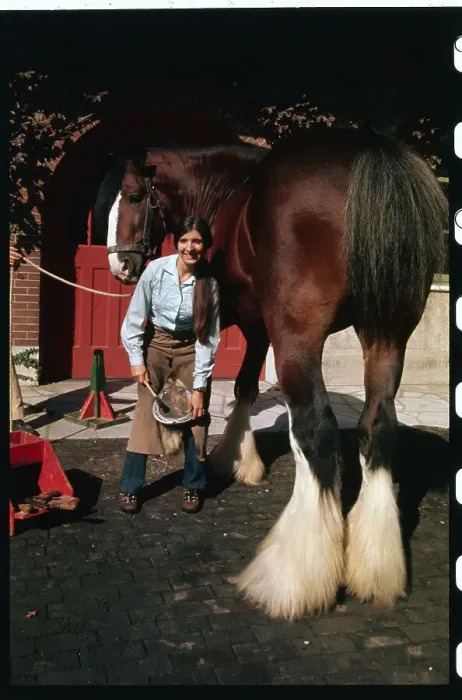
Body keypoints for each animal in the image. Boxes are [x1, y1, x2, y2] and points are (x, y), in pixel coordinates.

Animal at [94, 128, 447, 620]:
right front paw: (238, 457)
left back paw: (292, 576)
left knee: (315, 431)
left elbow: (203, 376)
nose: (120, 266)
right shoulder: (258, 327)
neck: (228, 196)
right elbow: (242, 385)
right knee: (377, 427)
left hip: (298, 338)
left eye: (131, 195)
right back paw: (375, 567)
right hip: (387, 334)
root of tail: (368, 152)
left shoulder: (224, 318)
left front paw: (192, 441)